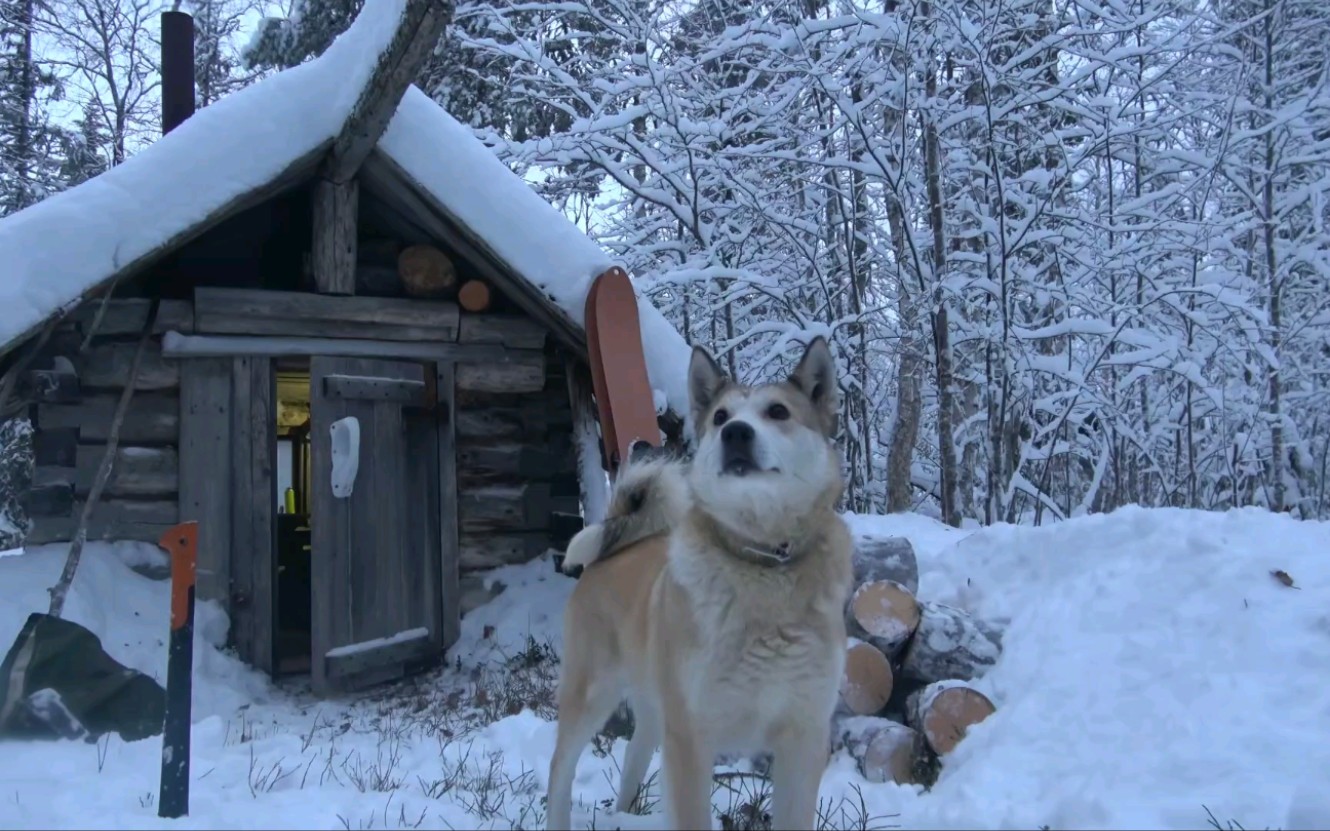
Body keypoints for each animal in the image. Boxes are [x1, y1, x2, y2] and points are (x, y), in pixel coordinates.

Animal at [542, 337, 845, 829]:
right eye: (720, 416)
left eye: (778, 411)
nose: (735, 433)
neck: (763, 562)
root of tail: (611, 553)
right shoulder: (690, 738)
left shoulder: (804, 739)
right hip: (591, 695)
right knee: (559, 771)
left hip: (651, 713)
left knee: (632, 761)